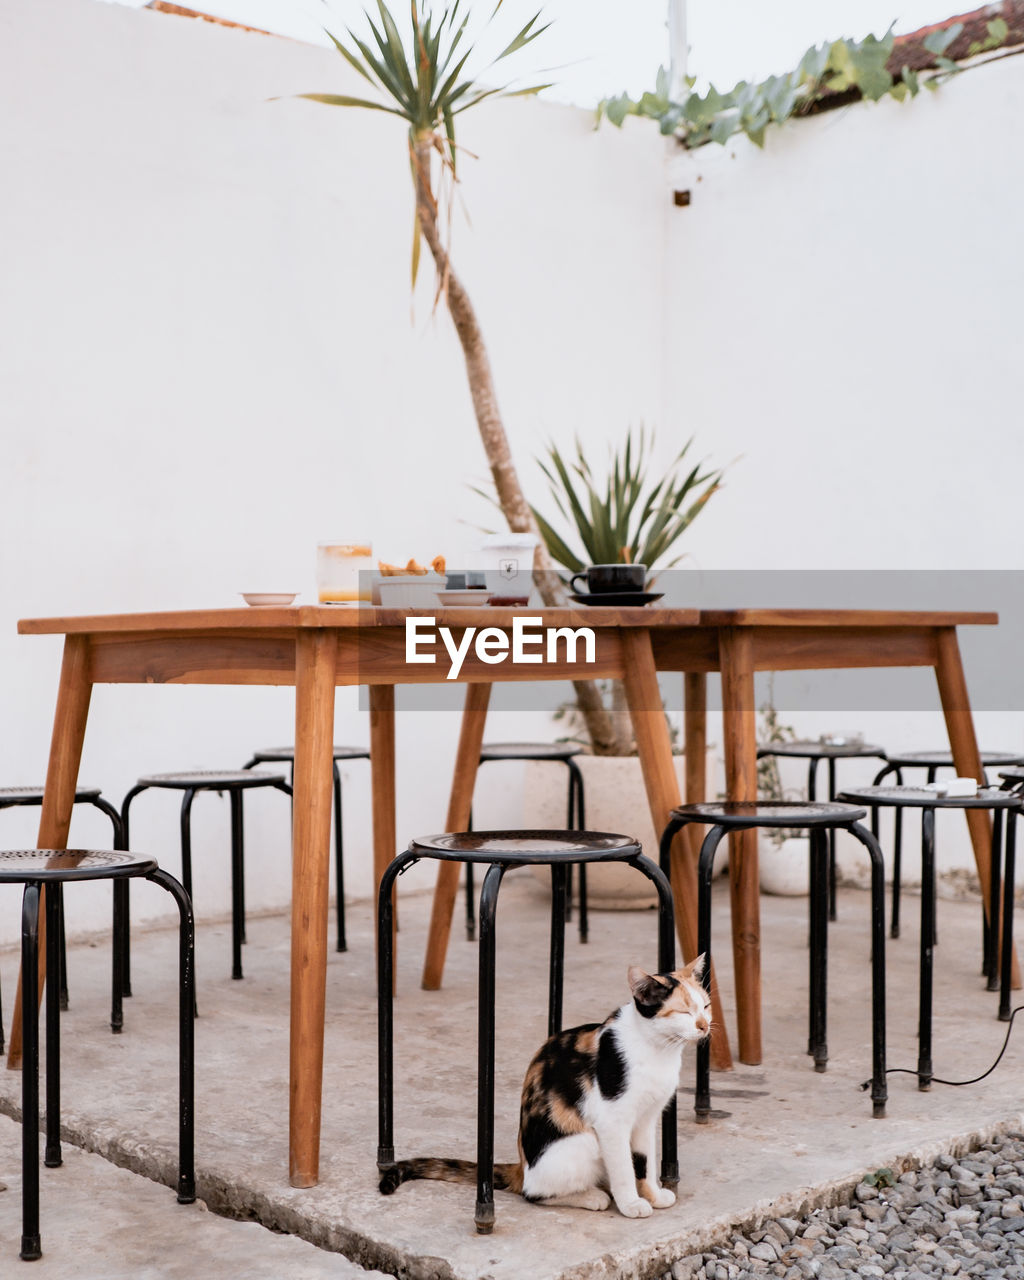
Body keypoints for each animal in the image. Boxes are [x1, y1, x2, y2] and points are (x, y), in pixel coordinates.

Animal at [378, 962, 706, 1218]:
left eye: (705, 1006)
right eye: (683, 1012)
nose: (704, 1026)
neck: (657, 1049)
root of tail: (521, 1166)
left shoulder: (647, 1118)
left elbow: (645, 1161)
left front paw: (653, 1194)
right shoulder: (612, 1121)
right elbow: (625, 1167)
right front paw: (631, 1204)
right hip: (584, 1143)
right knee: (532, 1192)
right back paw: (592, 1196)